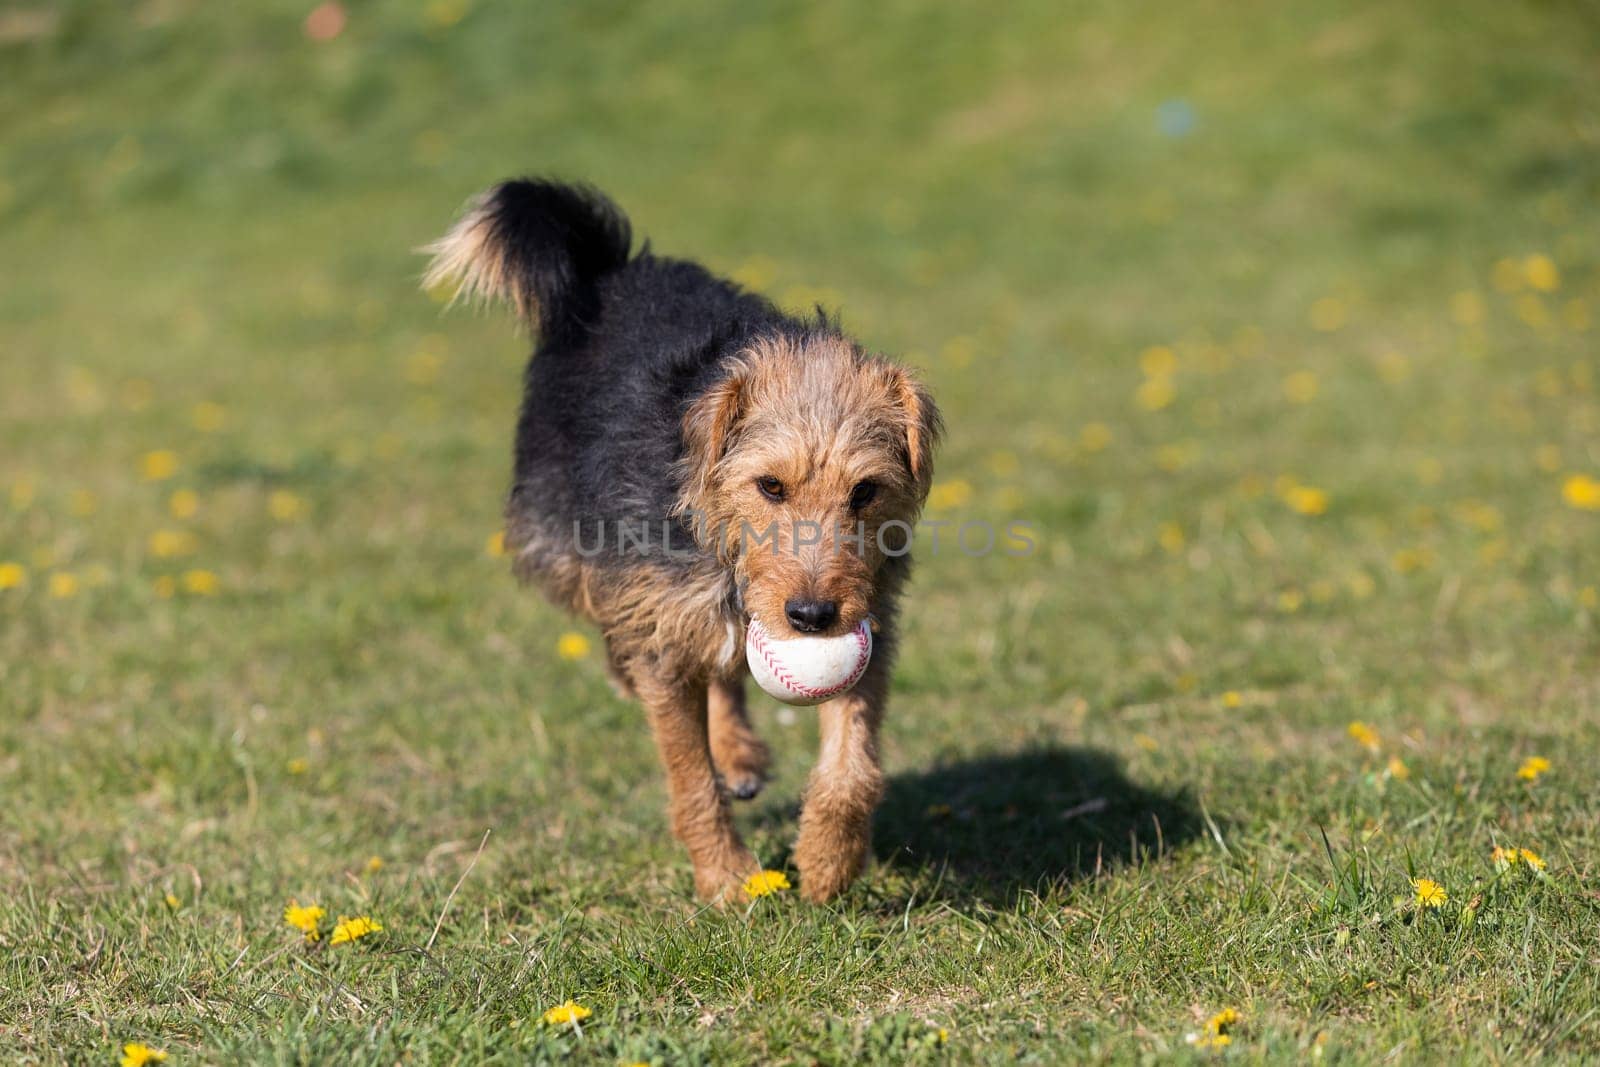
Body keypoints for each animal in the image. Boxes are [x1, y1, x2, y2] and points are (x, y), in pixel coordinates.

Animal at [425, 181, 934, 902]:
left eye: (865, 491)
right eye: (770, 485)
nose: (810, 617)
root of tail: (608, 272)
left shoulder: (869, 625)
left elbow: (851, 763)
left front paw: (829, 860)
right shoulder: (662, 627)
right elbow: (690, 773)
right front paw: (727, 879)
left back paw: (740, 751)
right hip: (564, 543)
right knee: (620, 632)